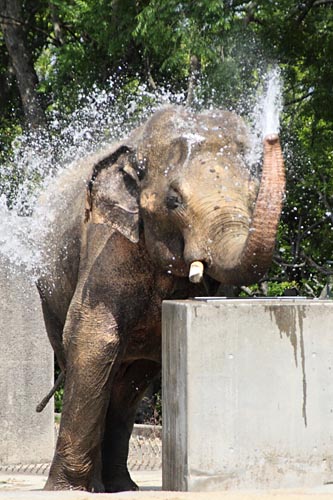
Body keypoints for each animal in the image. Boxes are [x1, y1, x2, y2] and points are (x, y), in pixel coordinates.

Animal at [37, 105, 286, 492]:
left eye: (252, 192)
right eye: (173, 201)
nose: (272, 135)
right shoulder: (107, 241)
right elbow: (93, 338)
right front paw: (67, 491)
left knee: (130, 385)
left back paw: (122, 486)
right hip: (48, 295)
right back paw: (99, 487)